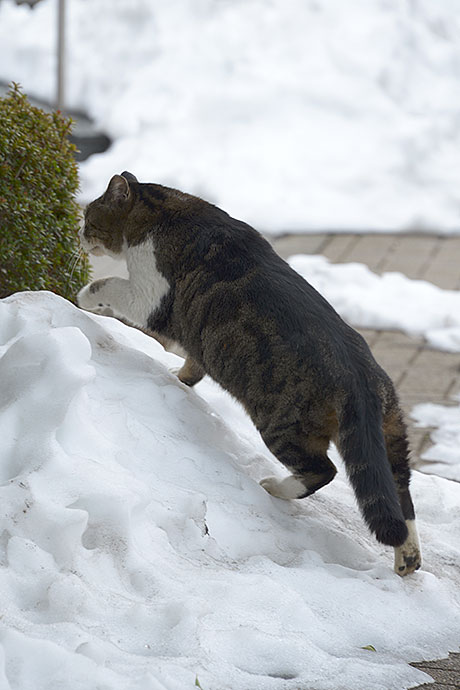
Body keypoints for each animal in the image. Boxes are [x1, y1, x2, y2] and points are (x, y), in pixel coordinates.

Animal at [77, 172, 422, 576]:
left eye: (89, 217)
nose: (79, 234)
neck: (163, 211)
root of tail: (362, 380)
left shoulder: (149, 296)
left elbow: (108, 285)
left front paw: (84, 297)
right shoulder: (198, 337)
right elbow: (194, 364)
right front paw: (180, 378)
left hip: (282, 424)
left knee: (323, 471)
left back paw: (275, 487)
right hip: (392, 436)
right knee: (401, 494)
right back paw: (408, 559)